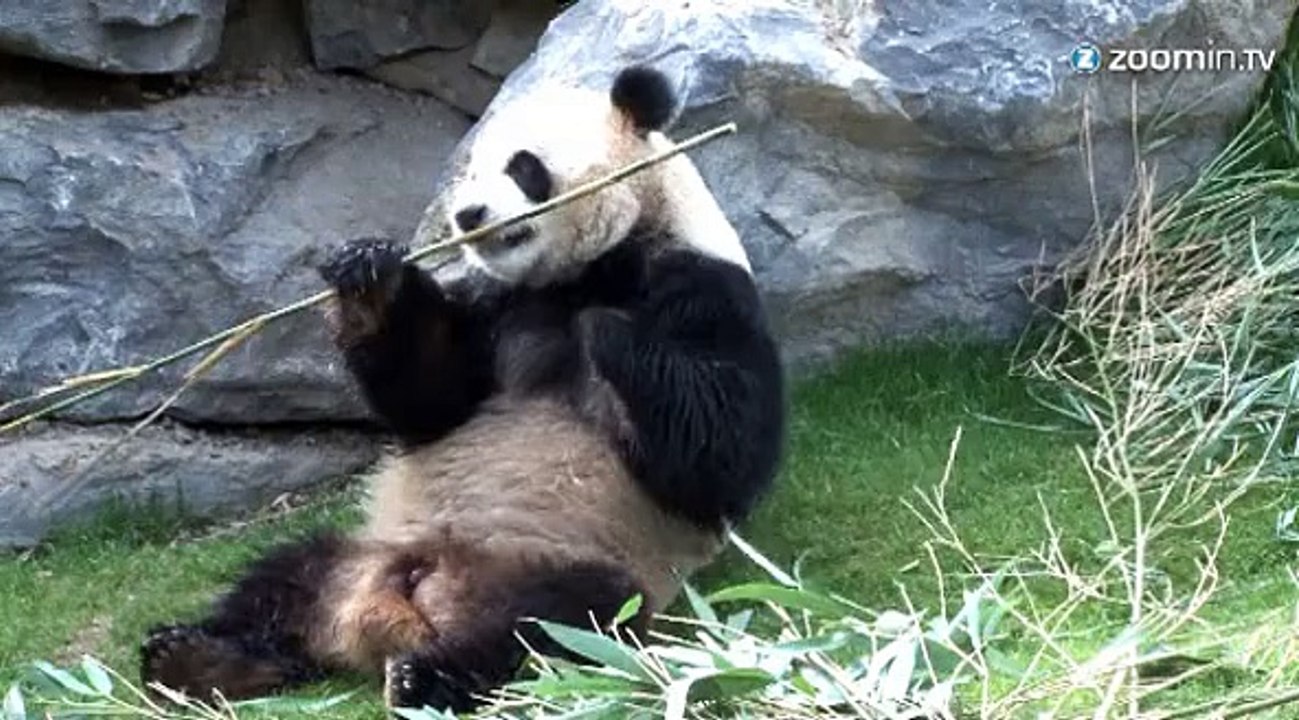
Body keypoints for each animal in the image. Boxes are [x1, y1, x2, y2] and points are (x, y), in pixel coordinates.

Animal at [138, 65, 786, 712]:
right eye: (470, 172)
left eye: (523, 167)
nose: (468, 215)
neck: (588, 267)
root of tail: (394, 612)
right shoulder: (497, 306)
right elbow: (433, 398)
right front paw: (371, 279)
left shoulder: (703, 290)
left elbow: (717, 453)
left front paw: (603, 329)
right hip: (363, 553)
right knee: (282, 579)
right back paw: (196, 658)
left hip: (578, 566)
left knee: (556, 622)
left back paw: (424, 677)